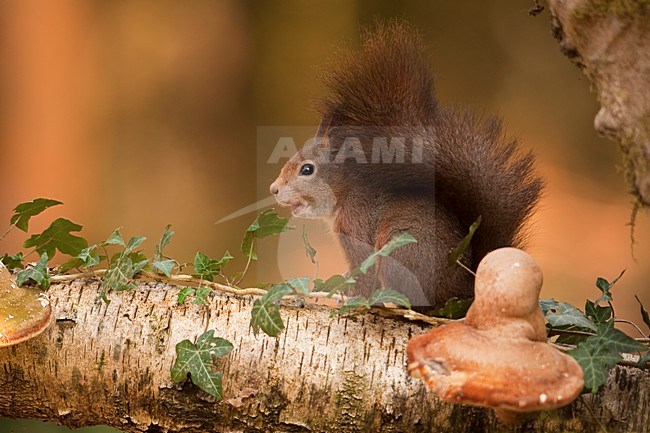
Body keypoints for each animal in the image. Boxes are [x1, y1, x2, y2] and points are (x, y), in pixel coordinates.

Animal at [268, 22, 540, 306]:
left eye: (307, 170)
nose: (273, 189)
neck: (345, 194)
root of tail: (464, 291)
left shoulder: (358, 228)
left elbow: (364, 273)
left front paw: (352, 296)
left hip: (398, 253)